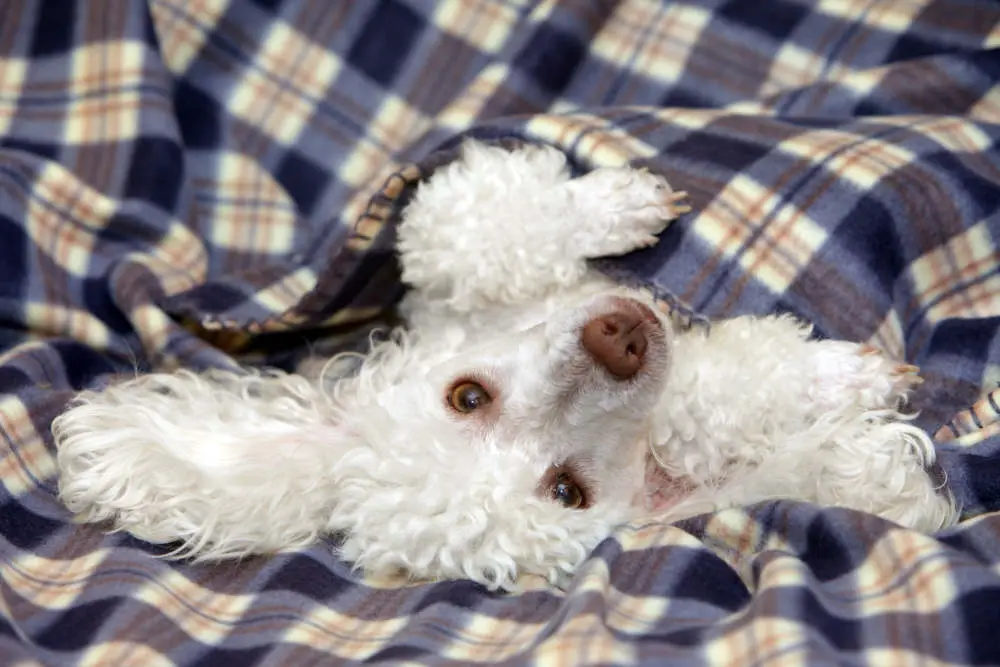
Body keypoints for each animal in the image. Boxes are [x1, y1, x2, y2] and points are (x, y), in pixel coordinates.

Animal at [50, 142, 956, 588]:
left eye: (466, 394)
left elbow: (467, 221)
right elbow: (730, 400)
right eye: (566, 492)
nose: (621, 339)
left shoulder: (444, 284)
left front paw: (611, 205)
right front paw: (843, 389)